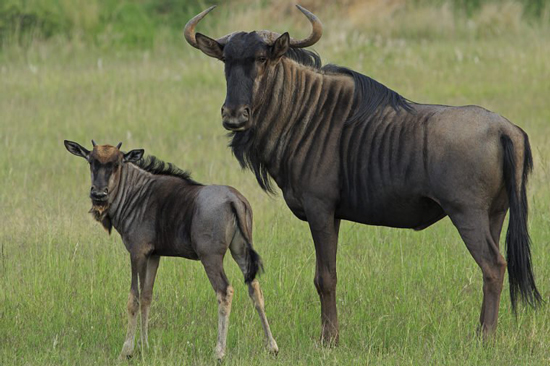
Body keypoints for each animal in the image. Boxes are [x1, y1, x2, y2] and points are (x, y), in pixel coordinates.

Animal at [64, 141, 280, 360]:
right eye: (91, 162)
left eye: (116, 164)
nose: (99, 194)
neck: (135, 193)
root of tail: (234, 199)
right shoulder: (154, 255)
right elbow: (147, 297)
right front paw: (144, 345)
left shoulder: (137, 252)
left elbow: (133, 299)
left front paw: (127, 350)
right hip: (240, 251)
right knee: (254, 288)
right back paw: (271, 346)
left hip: (211, 258)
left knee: (224, 291)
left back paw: (219, 351)